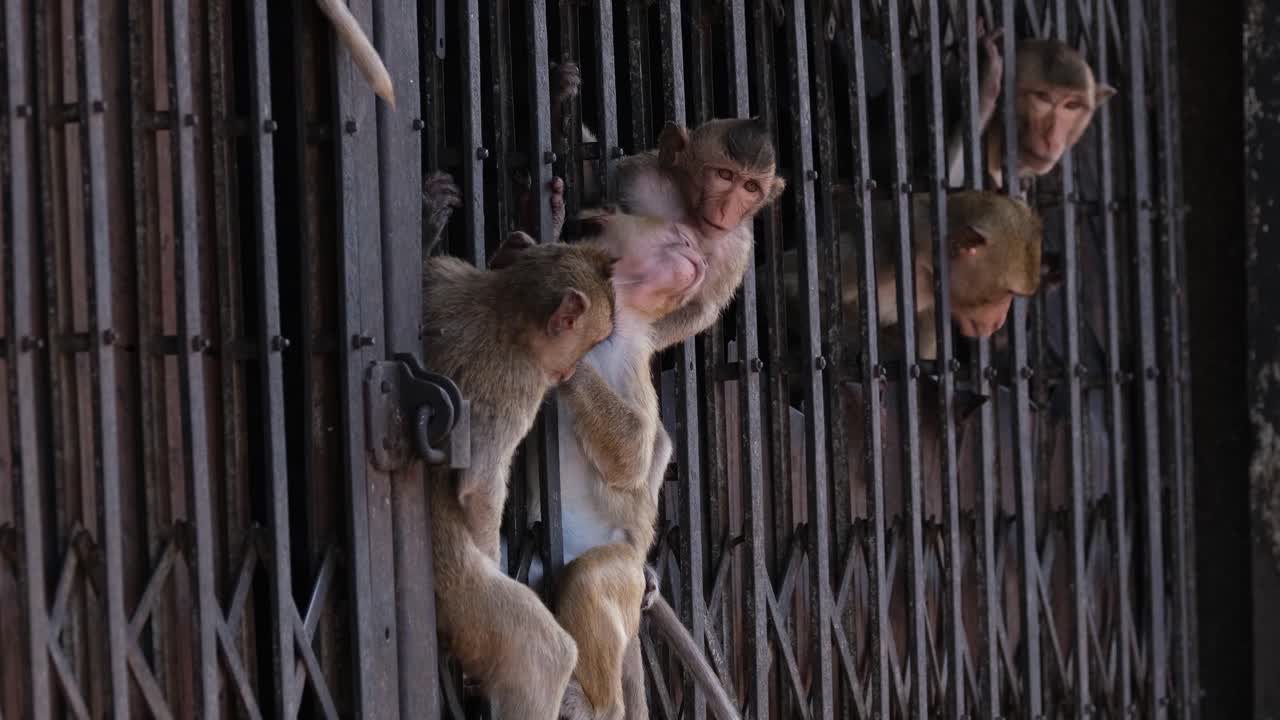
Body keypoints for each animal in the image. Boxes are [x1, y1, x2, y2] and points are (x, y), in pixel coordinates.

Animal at [422, 229, 617, 719]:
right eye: (588, 344)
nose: (568, 370)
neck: (500, 305)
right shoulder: (522, 383)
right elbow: (478, 486)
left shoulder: (444, 271)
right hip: (455, 586)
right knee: (543, 653)